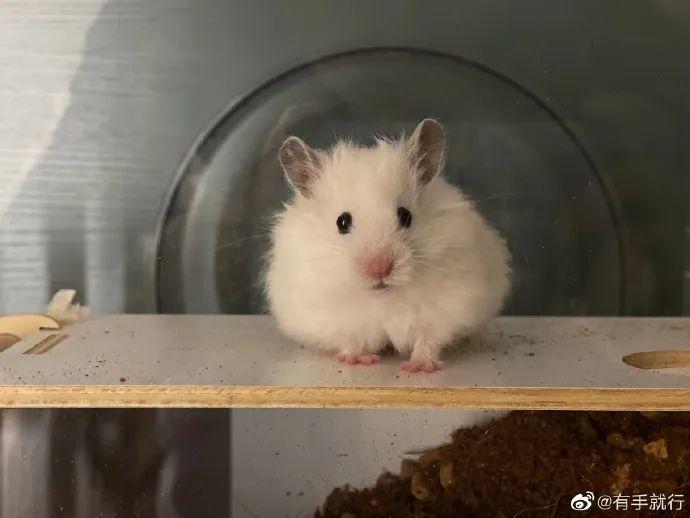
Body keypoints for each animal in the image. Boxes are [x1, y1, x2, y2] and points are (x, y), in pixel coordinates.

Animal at [264, 119, 510, 373]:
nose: (380, 268)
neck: (383, 297)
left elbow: (427, 339)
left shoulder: (447, 306)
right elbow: (351, 340)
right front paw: (359, 360)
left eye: (405, 216)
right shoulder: (330, 315)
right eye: (342, 222)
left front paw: (418, 367)